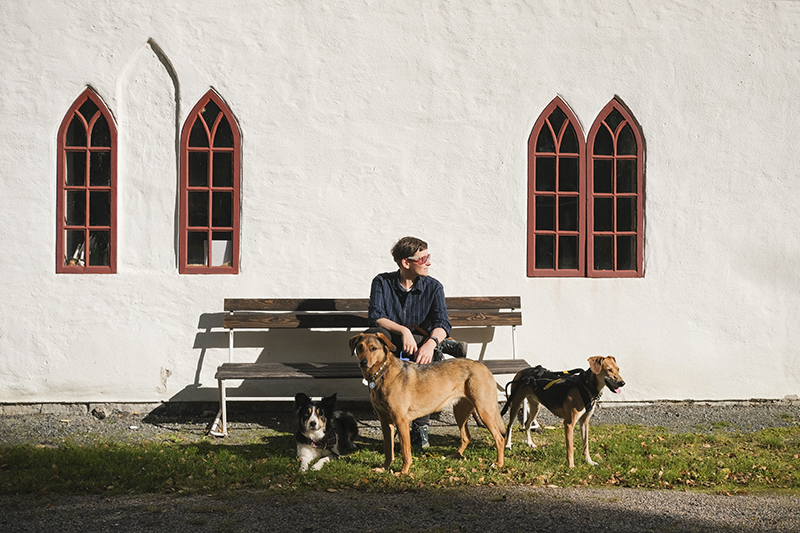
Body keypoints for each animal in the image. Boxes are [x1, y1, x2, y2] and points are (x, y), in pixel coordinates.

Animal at [346, 330, 504, 472]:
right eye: (360, 347)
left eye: (374, 348)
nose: (363, 362)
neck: (381, 375)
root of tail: (483, 366)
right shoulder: (385, 422)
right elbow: (388, 449)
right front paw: (385, 468)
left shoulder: (401, 421)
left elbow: (405, 451)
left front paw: (403, 472)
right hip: (460, 412)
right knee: (466, 437)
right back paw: (455, 456)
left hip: (484, 411)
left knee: (499, 439)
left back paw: (498, 464)